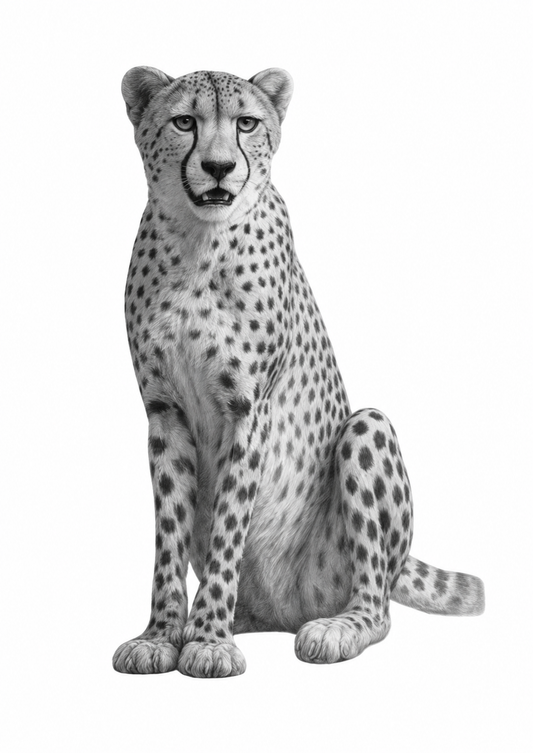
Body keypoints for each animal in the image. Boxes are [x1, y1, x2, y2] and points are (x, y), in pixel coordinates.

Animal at [112, 66, 485, 678]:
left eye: (246, 123)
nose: (219, 167)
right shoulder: (163, 412)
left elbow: (228, 525)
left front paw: (209, 642)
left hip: (367, 430)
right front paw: (162, 634)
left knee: (378, 605)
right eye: (185, 121)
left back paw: (333, 629)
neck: (197, 241)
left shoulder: (247, 409)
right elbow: (169, 535)